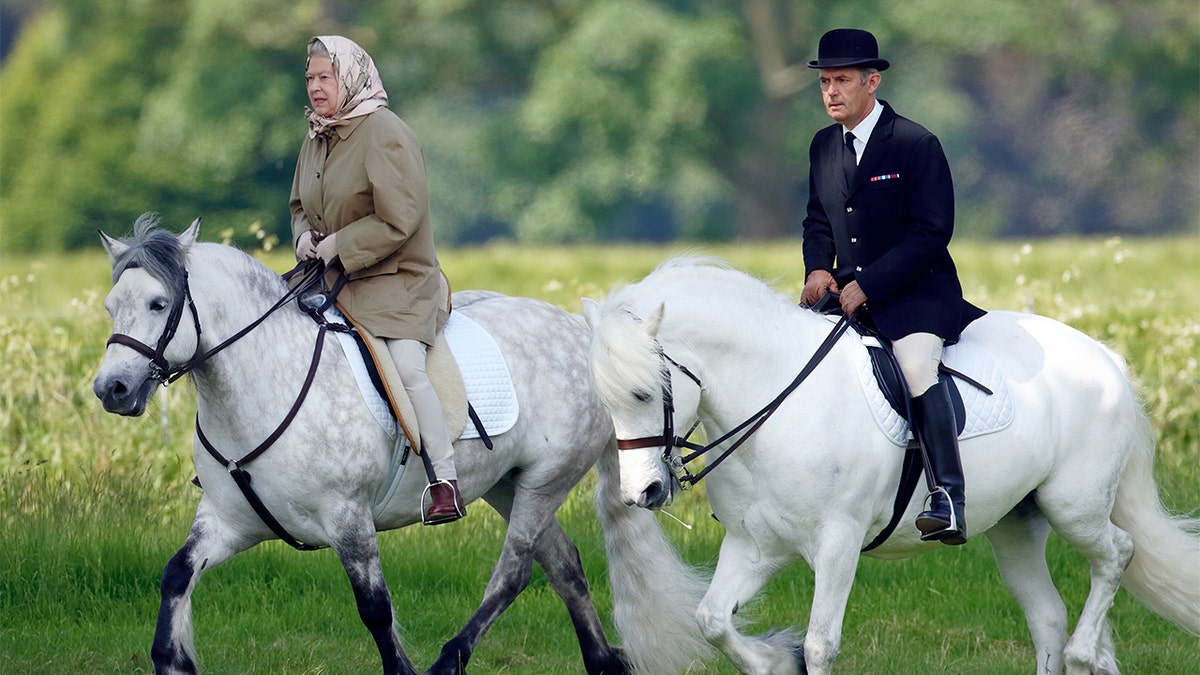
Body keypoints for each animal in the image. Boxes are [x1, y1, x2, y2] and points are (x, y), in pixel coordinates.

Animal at [93, 214, 628, 672]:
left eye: (159, 304)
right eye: (110, 307)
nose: (110, 389)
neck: (267, 383)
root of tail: (581, 330)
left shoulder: (348, 518)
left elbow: (375, 609)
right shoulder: (228, 521)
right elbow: (176, 574)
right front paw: (172, 658)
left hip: (545, 481)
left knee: (514, 572)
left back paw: (449, 661)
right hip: (507, 485)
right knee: (563, 564)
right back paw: (602, 661)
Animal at [578, 255, 1190, 672]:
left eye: (644, 392)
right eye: (604, 399)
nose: (642, 494)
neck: (778, 400)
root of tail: (1106, 356)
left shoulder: (837, 543)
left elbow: (820, 645)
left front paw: (792, 655)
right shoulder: (755, 546)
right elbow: (711, 621)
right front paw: (774, 660)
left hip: (1073, 506)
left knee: (1117, 555)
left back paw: (1084, 652)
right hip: (1017, 525)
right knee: (1048, 619)